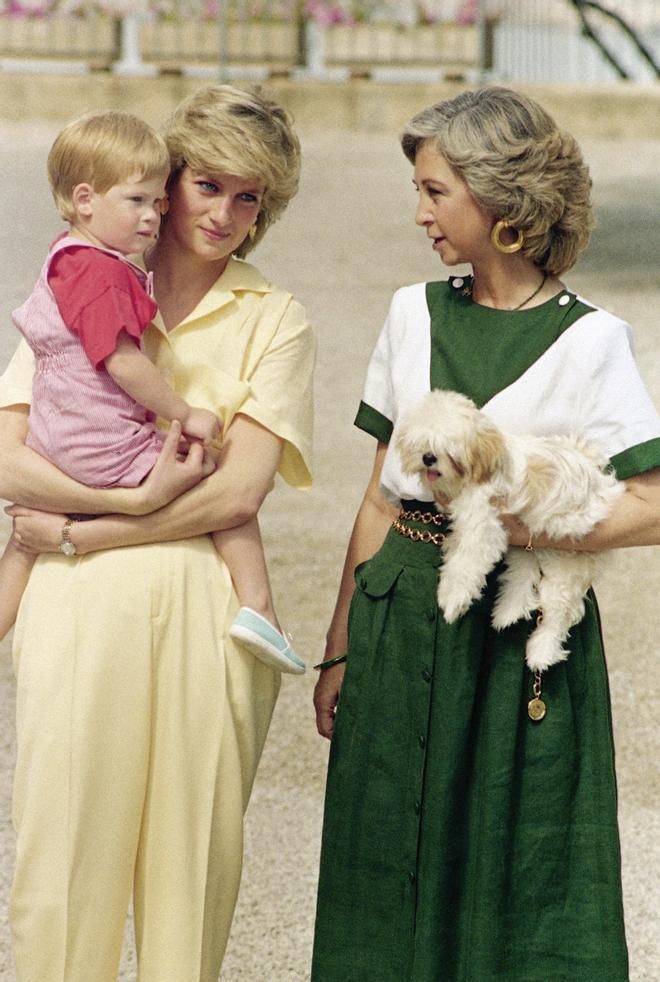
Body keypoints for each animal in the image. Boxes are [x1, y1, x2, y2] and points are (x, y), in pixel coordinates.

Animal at [398, 392, 624, 676]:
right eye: (422, 443)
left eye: (449, 449)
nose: (428, 458)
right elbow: (458, 554)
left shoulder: (483, 525)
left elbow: (465, 565)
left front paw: (452, 599)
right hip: (528, 543)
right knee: (522, 574)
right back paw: (508, 612)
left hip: (567, 561)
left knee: (559, 610)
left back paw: (541, 651)